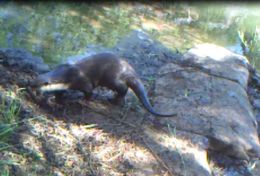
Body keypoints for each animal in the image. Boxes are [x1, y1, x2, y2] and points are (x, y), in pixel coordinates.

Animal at [34, 52, 177, 117]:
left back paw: (113, 99)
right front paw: (56, 99)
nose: (30, 84)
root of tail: (130, 71)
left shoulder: (82, 81)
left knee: (123, 89)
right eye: (34, 81)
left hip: (113, 79)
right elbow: (60, 92)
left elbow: (89, 91)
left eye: (39, 85)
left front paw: (83, 100)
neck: (67, 74)